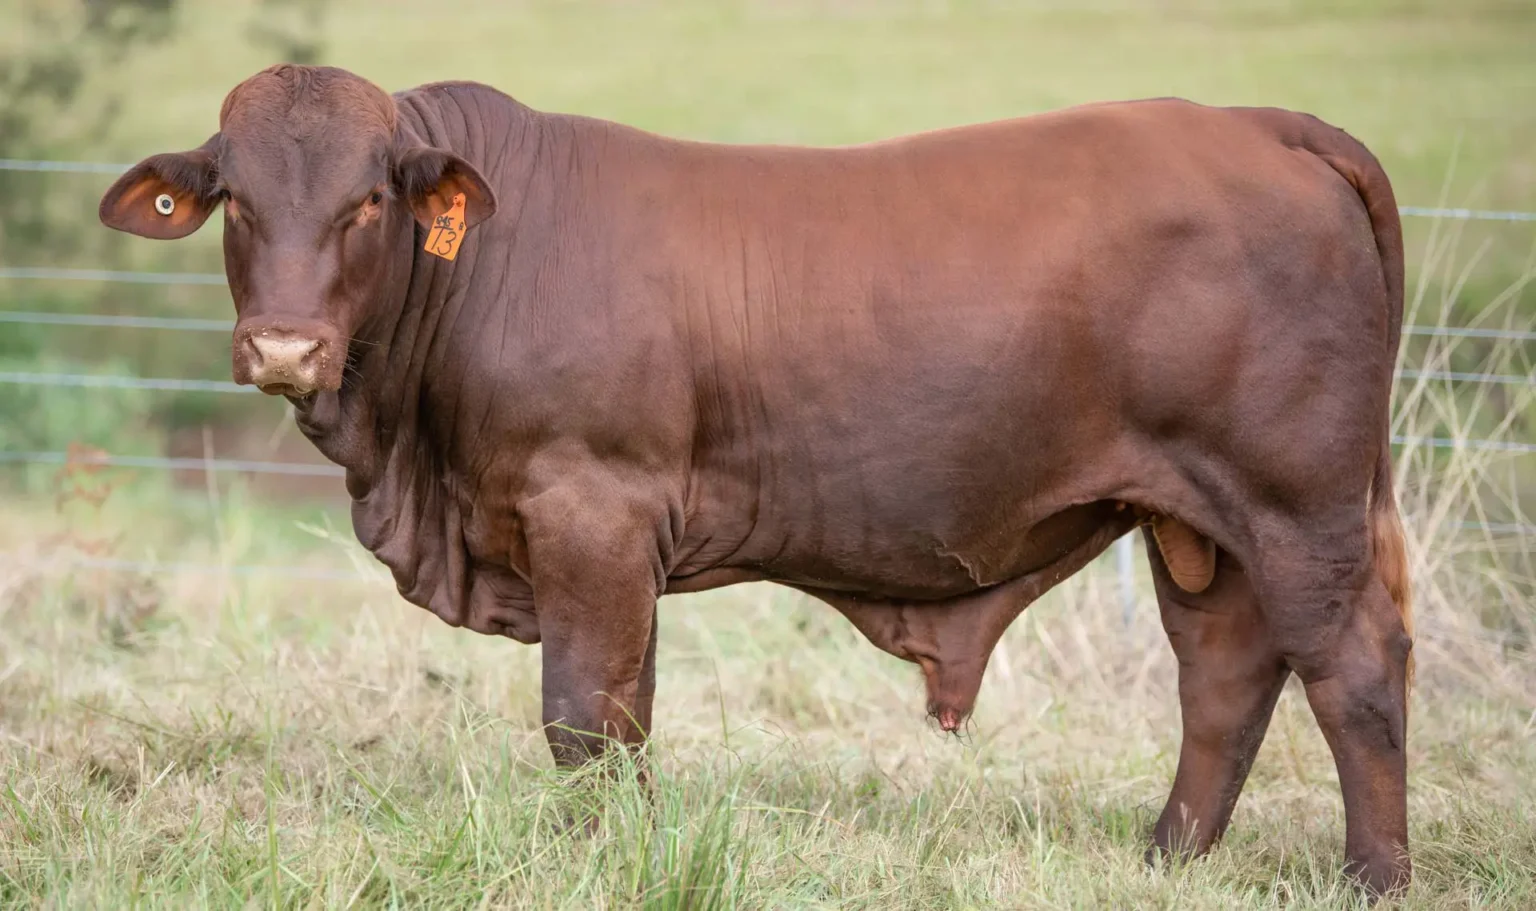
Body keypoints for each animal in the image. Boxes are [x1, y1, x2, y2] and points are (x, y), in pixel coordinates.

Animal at [100, 64, 1414, 895]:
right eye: (236, 202)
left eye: (368, 199)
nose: (283, 347)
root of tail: (1263, 123)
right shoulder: (619, 546)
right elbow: (626, 710)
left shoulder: (592, 508)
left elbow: (583, 712)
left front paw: (601, 856)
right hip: (1199, 522)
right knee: (1226, 674)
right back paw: (1166, 856)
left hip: (1297, 503)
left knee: (1351, 670)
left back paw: (1373, 876)